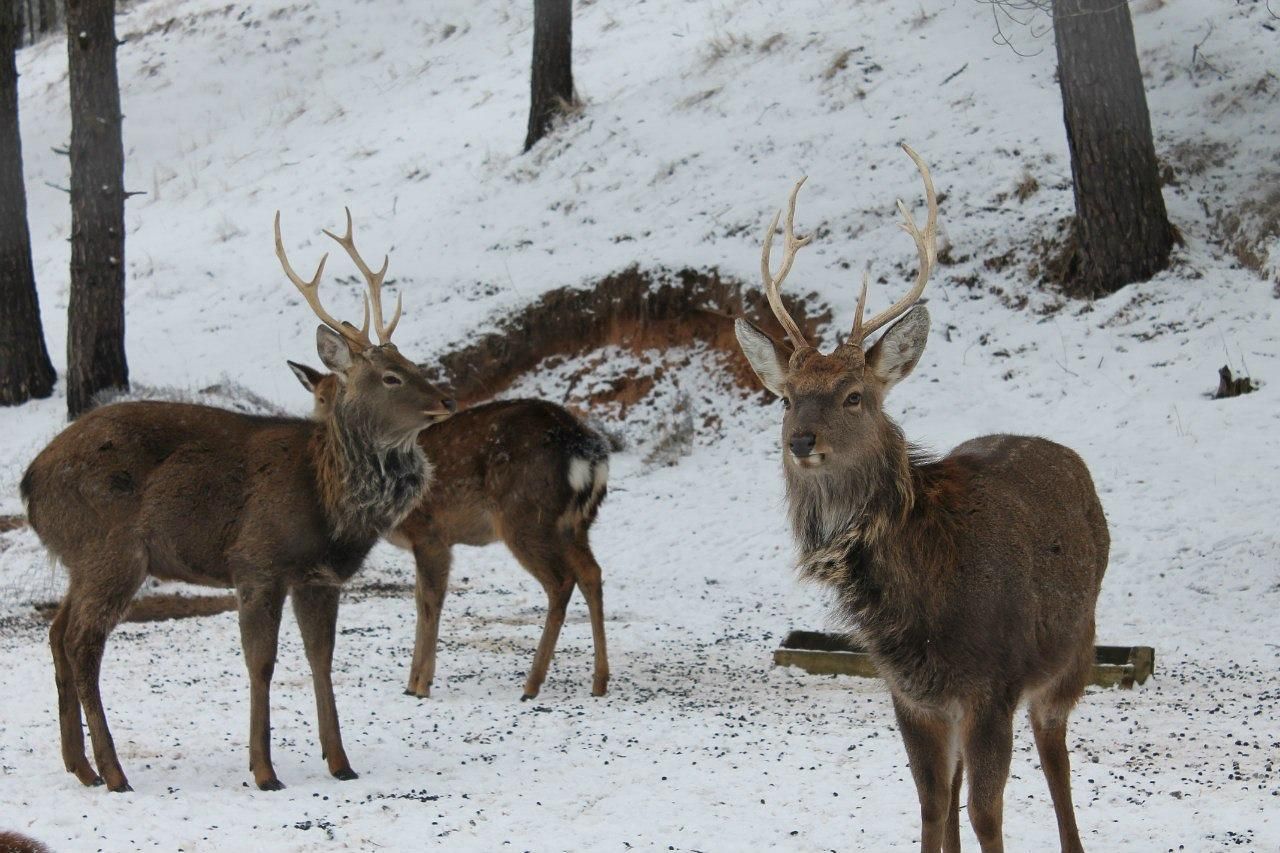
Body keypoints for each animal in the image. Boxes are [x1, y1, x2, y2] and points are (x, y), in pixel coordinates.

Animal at [20, 207, 455, 788]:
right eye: (391, 376)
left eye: (413, 362)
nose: (447, 402)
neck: (329, 504)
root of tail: (28, 483)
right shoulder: (257, 561)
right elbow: (261, 663)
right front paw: (265, 771)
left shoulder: (319, 577)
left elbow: (321, 659)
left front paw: (341, 763)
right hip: (110, 549)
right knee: (81, 643)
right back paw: (114, 773)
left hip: (79, 558)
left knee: (56, 631)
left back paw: (80, 767)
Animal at [290, 358, 609, 696]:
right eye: (320, 398)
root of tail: (585, 449)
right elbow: (421, 600)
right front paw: (413, 683)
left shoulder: (429, 532)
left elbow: (430, 601)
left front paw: (420, 685)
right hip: (575, 523)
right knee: (591, 573)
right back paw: (599, 681)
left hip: (526, 517)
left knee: (560, 581)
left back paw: (532, 683)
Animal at [742, 142, 1111, 845]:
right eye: (785, 397)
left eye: (854, 396)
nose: (800, 441)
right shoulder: (910, 691)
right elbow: (933, 802)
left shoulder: (994, 683)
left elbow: (987, 814)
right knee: (962, 780)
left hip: (1073, 648)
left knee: (1055, 750)